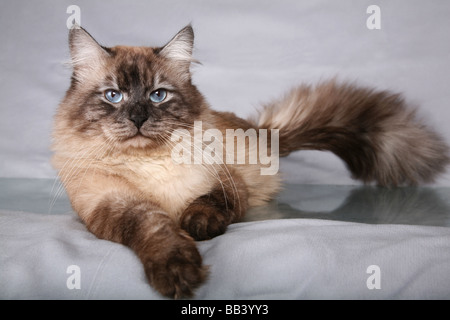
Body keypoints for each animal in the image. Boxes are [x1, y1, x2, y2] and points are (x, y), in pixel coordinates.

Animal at [51, 24, 446, 298]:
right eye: (113, 96)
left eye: (157, 95)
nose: (137, 118)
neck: (149, 165)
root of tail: (257, 131)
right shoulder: (115, 203)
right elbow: (156, 228)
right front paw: (178, 270)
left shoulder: (224, 182)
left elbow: (207, 204)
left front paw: (198, 226)